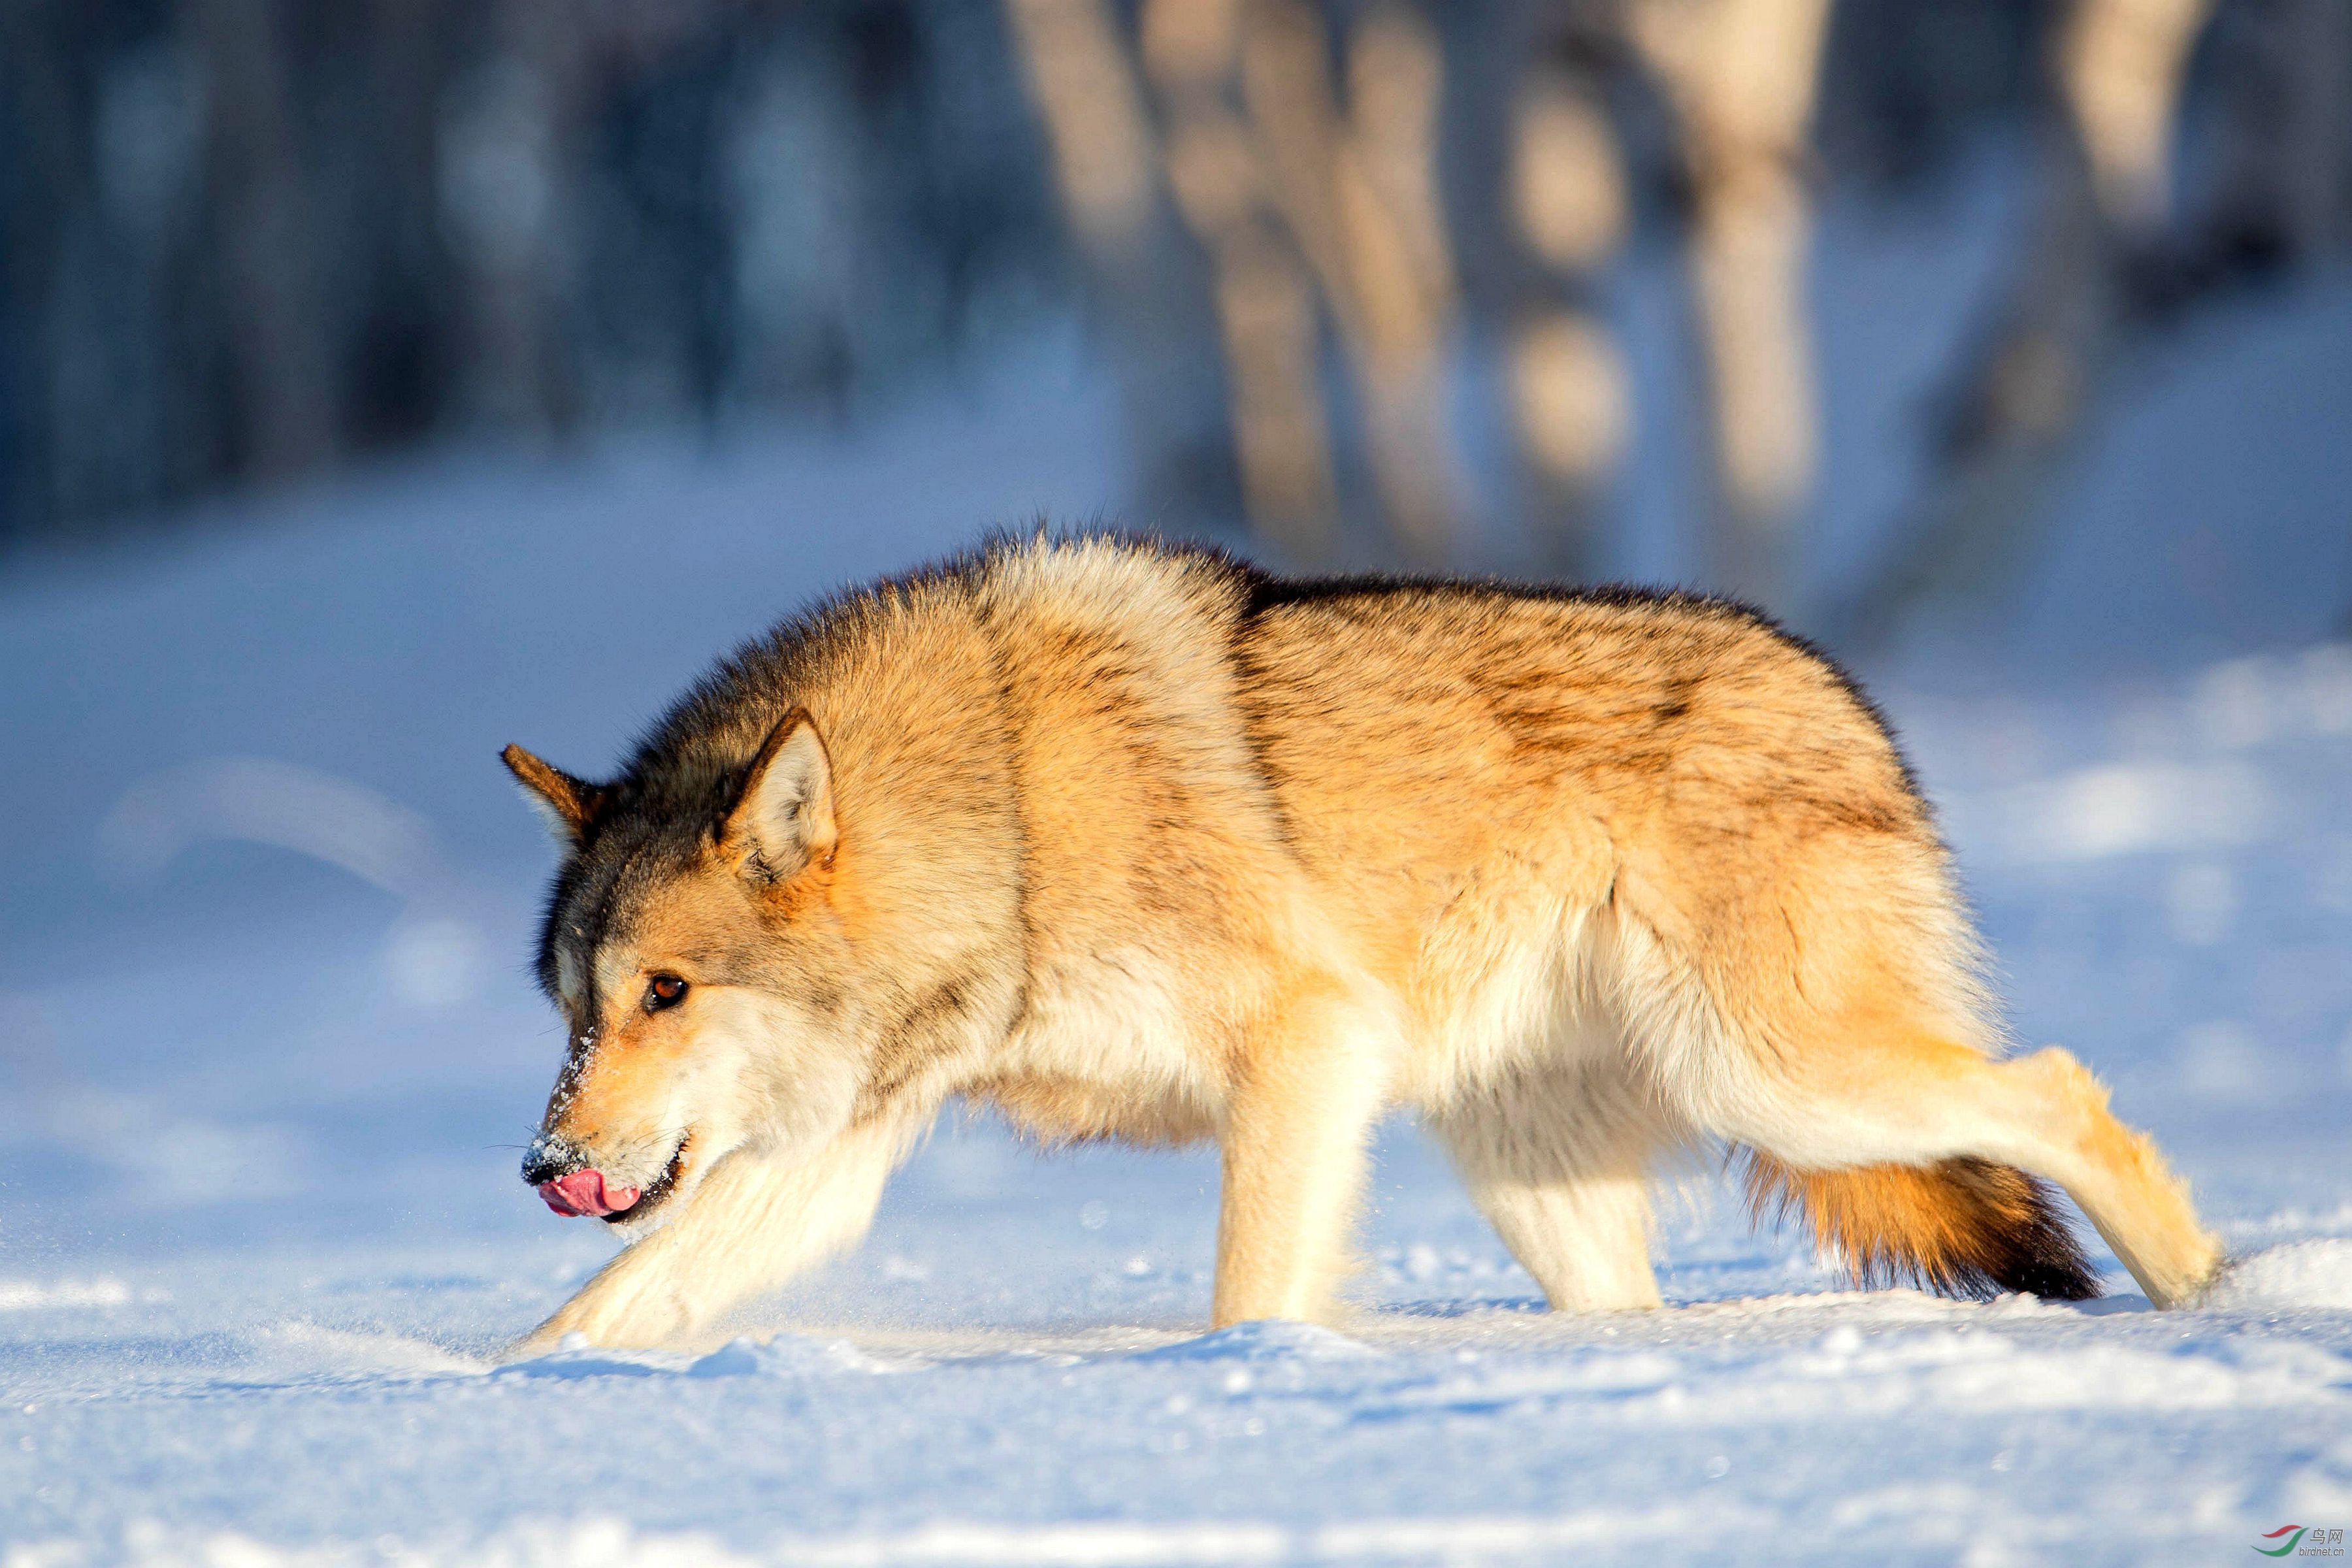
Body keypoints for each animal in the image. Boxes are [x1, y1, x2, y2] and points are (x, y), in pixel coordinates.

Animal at [500, 533, 2220, 1354]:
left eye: (666, 990)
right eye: (573, 1009)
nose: (544, 1164)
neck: (1011, 822)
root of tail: (1856, 707)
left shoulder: (1307, 1045)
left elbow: (1249, 1292)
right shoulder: (840, 1150)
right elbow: (604, 1307)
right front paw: (482, 1398)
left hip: (1774, 1080)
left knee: (2063, 1086)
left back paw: (2218, 1300)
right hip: (1548, 1178)